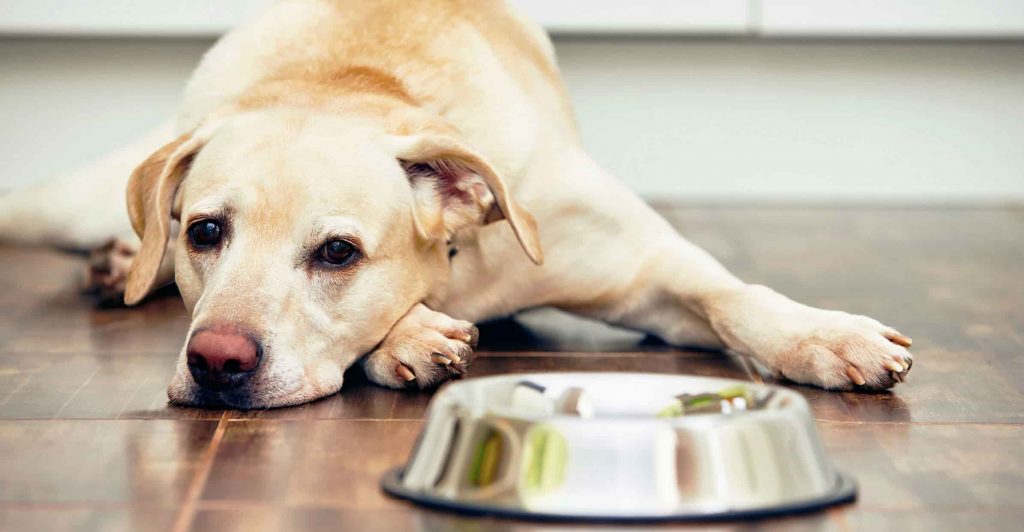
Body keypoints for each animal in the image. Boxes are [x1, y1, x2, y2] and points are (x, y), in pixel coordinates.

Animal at [0, 0, 913, 407]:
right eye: (205, 232)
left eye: (337, 252)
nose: (217, 363)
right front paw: (412, 335)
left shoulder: (648, 268)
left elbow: (734, 296)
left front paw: (823, 336)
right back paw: (124, 260)